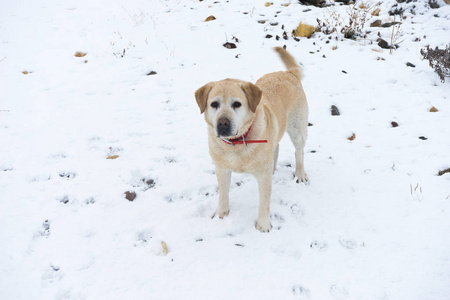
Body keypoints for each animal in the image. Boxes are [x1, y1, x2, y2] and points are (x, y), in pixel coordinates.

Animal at [195, 47, 308, 232]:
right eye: (214, 104)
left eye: (237, 104)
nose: (223, 123)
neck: (236, 143)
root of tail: (287, 73)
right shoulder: (221, 168)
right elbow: (223, 193)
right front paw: (221, 214)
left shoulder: (262, 176)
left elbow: (264, 202)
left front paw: (263, 225)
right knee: (276, 147)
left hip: (297, 127)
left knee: (299, 151)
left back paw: (300, 174)